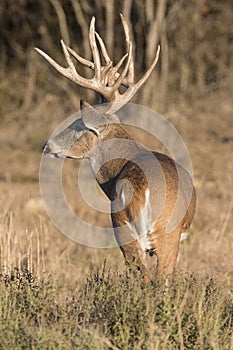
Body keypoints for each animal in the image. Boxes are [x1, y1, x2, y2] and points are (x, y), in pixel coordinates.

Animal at [35, 15, 197, 284]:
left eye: (78, 124)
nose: (47, 145)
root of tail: (141, 185)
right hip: (162, 233)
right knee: (157, 281)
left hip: (126, 232)